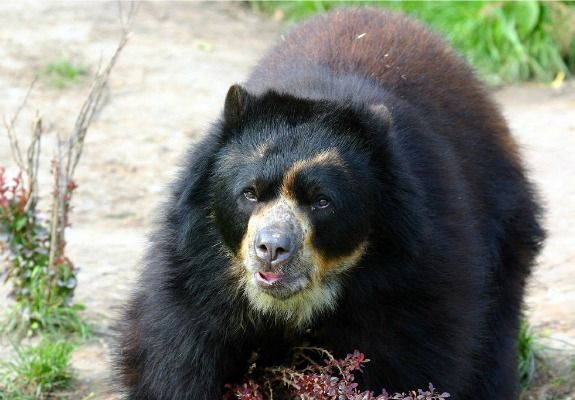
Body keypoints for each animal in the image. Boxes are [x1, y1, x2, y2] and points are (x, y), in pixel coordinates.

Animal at [118, 7, 544, 400]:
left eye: (322, 202)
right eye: (249, 193)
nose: (271, 249)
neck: (290, 307)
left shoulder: (412, 286)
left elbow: (410, 362)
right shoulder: (193, 286)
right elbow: (178, 361)